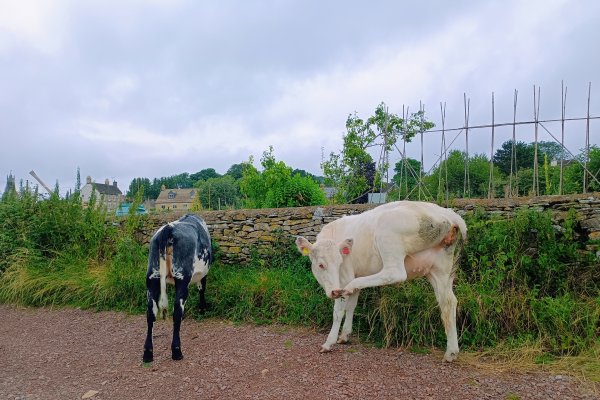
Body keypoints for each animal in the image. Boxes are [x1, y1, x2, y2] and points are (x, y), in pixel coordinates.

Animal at [143, 214, 213, 364]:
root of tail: (169, 229)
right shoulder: (203, 274)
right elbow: (201, 289)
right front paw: (202, 310)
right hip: (182, 277)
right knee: (177, 310)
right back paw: (176, 351)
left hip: (152, 277)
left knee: (150, 312)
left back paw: (147, 353)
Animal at [298, 202, 466, 360]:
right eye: (321, 265)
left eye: (340, 262)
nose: (334, 291)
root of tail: (447, 213)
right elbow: (351, 306)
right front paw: (344, 335)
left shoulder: (345, 277)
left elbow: (338, 311)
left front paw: (329, 342)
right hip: (440, 268)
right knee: (448, 302)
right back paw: (451, 352)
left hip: (388, 238)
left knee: (395, 272)